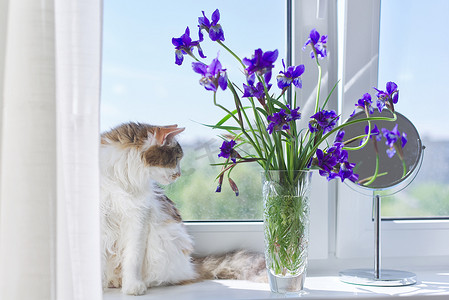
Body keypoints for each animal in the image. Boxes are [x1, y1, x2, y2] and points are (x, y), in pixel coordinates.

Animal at [100, 122, 264, 296]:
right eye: (176, 158)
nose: (179, 174)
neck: (122, 175)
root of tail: (190, 264)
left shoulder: (139, 217)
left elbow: (133, 257)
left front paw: (133, 286)